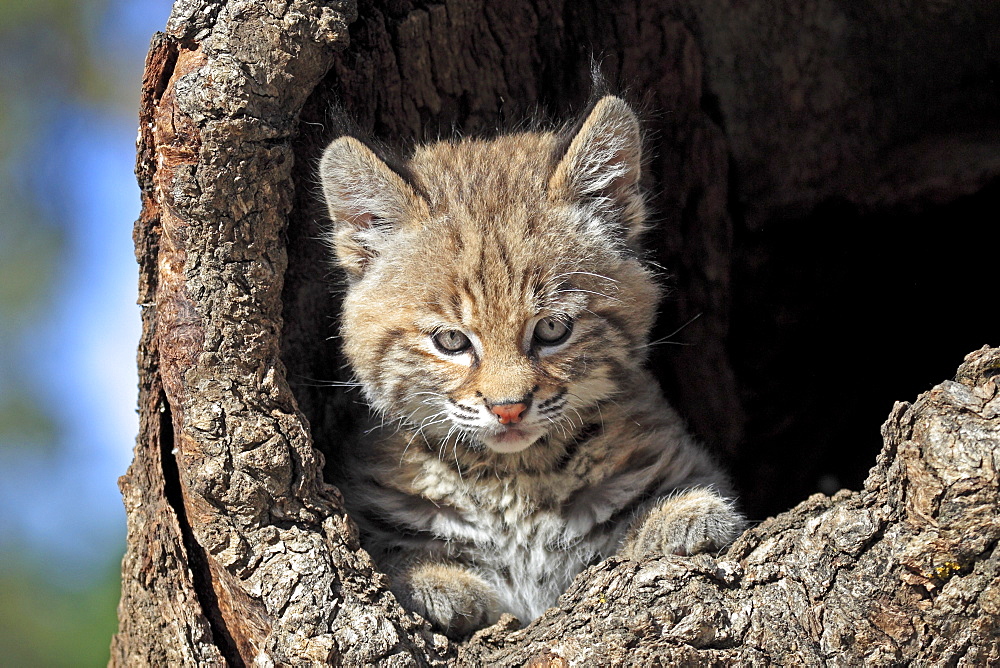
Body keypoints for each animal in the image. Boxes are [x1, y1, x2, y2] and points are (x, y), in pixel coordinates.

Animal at [320, 96, 744, 640]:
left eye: (551, 330)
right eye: (451, 341)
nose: (509, 410)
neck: (513, 479)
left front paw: (682, 514)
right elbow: (392, 556)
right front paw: (433, 580)